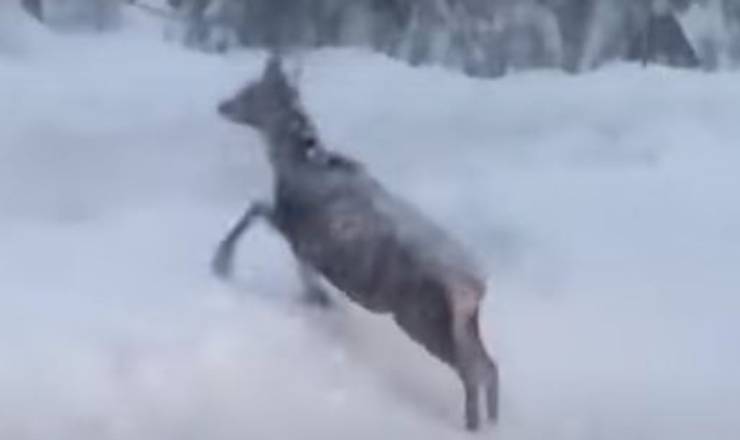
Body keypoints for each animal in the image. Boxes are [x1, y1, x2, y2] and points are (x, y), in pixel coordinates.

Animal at [211, 55, 498, 431]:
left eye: (250, 91)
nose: (222, 105)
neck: (293, 165)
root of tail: (475, 286)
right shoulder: (304, 244)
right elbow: (301, 268)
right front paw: (317, 300)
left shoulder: (293, 226)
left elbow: (255, 209)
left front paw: (221, 262)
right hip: (463, 322)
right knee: (488, 366)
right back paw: (491, 421)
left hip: (423, 316)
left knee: (471, 370)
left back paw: (471, 424)